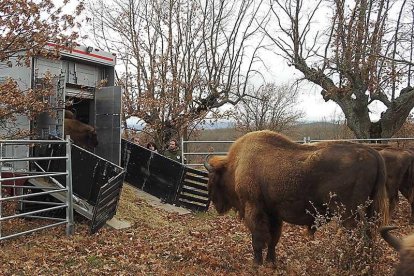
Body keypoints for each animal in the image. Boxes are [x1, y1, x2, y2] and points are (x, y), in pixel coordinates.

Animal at [205, 130, 390, 266]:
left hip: (349, 215)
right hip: (368, 211)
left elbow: (258, 238)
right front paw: (271, 263)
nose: (216, 205)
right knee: (368, 236)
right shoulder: (273, 213)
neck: (235, 166)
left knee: (358, 237)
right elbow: (273, 239)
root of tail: (373, 153)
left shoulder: (254, 209)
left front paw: (256, 264)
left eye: (212, 180)